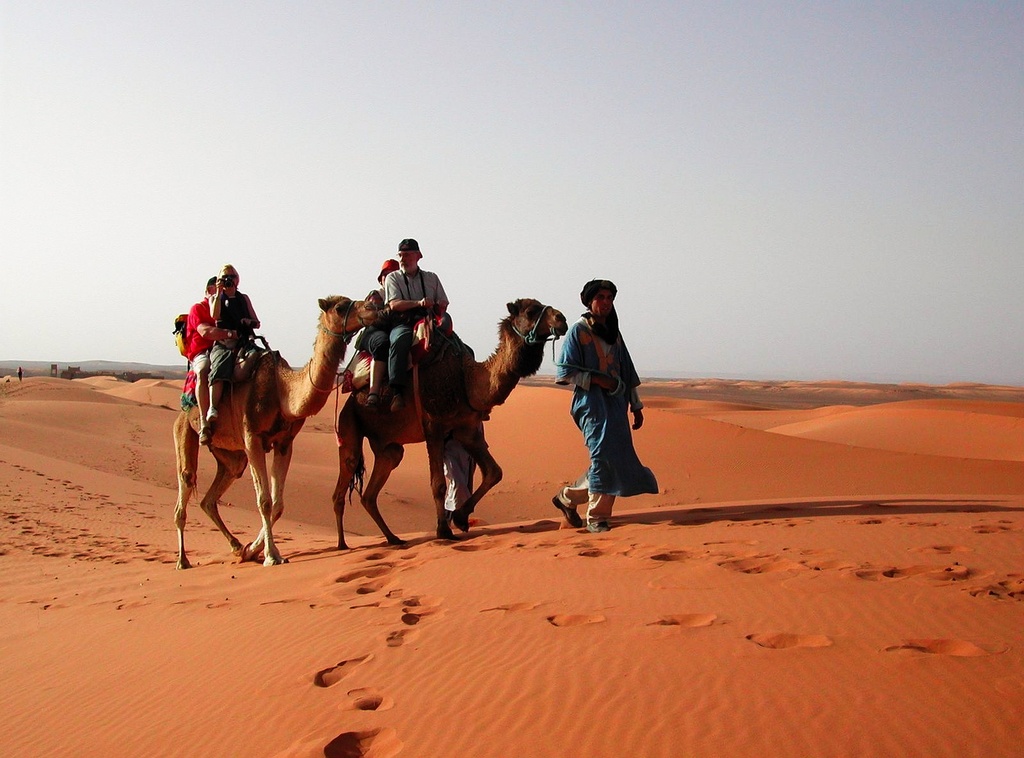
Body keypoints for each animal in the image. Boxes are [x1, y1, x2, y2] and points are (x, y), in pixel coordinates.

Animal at [174, 297, 378, 569]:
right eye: (340, 307)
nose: (373, 305)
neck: (283, 391)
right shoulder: (252, 439)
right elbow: (264, 501)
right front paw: (270, 556)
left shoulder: (284, 442)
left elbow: (278, 504)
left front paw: (252, 550)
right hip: (184, 430)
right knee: (185, 484)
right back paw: (182, 560)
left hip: (230, 455)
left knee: (214, 492)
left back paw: (236, 547)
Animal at [331, 297, 569, 549]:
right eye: (531, 311)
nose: (561, 319)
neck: (467, 380)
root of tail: (352, 394)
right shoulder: (433, 426)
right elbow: (438, 484)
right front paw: (444, 530)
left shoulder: (467, 429)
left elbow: (494, 472)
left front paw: (461, 517)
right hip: (349, 422)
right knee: (344, 478)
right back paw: (342, 544)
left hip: (388, 446)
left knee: (372, 490)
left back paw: (393, 538)